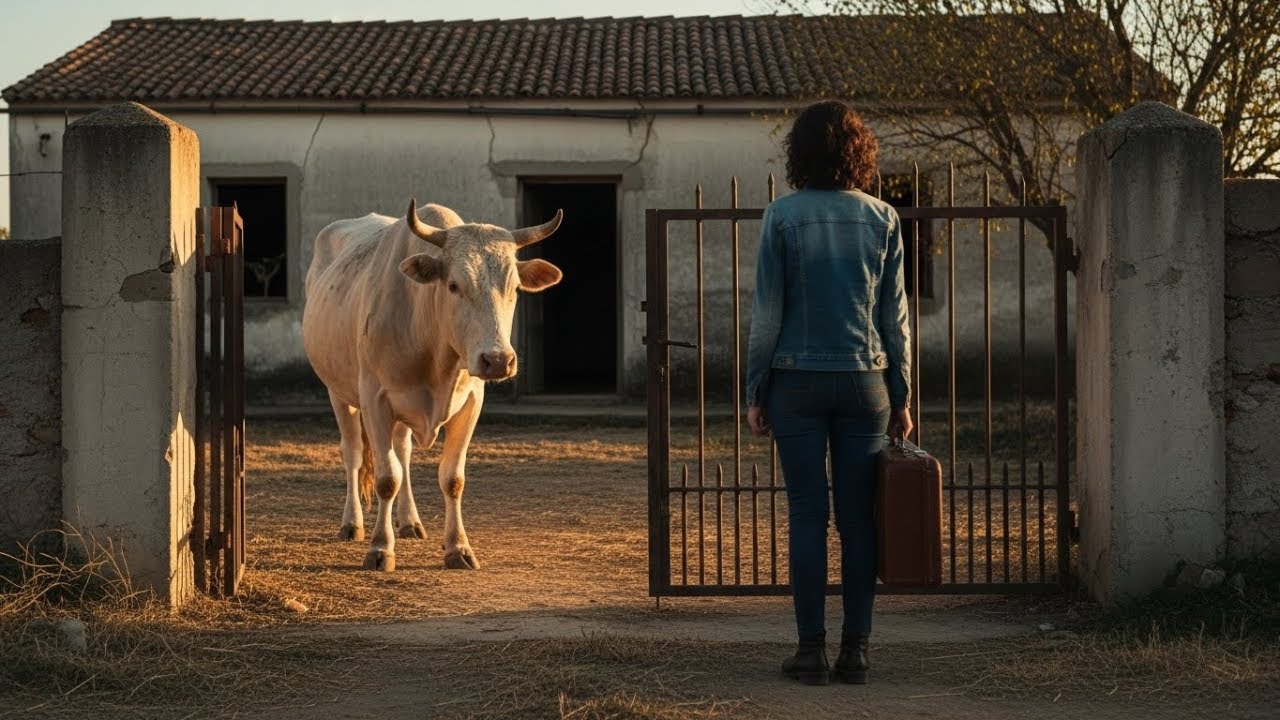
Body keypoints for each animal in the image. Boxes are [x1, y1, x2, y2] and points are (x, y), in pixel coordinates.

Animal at [302, 200, 563, 571]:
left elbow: (452, 478)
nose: (498, 360)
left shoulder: (471, 402)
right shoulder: (375, 401)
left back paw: (409, 522)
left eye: (514, 288)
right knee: (353, 452)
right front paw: (380, 549)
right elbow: (386, 478)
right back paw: (352, 523)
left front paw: (458, 548)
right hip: (338, 392)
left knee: (403, 453)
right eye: (453, 285)